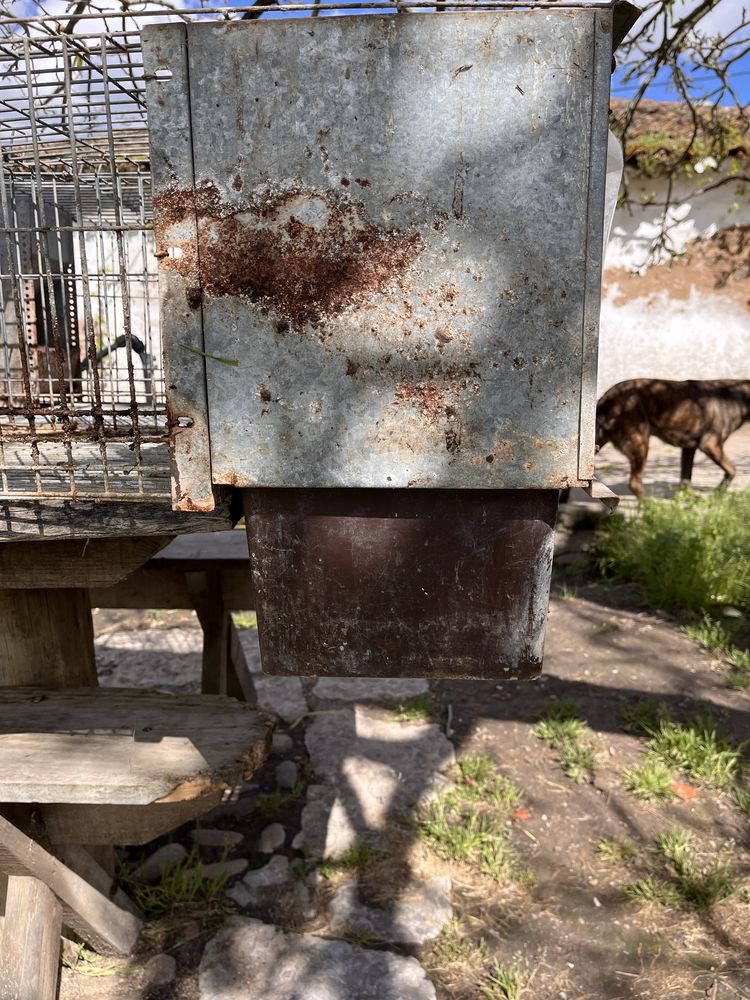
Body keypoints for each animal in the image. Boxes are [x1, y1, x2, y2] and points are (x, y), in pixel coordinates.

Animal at [596, 376, 748, 498]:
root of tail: (607, 398)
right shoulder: (711, 445)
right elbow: (732, 470)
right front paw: (719, 491)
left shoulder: (688, 449)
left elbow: (685, 480)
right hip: (640, 444)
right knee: (634, 483)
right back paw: (649, 506)